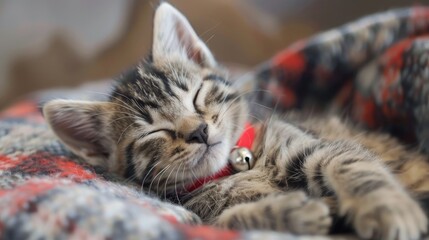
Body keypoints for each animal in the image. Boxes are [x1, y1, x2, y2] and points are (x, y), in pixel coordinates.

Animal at [41, 2, 426, 240]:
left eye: (196, 95)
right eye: (156, 132)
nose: (198, 131)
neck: (236, 167)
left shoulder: (315, 144)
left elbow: (353, 166)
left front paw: (388, 209)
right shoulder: (202, 215)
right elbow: (229, 220)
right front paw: (292, 212)